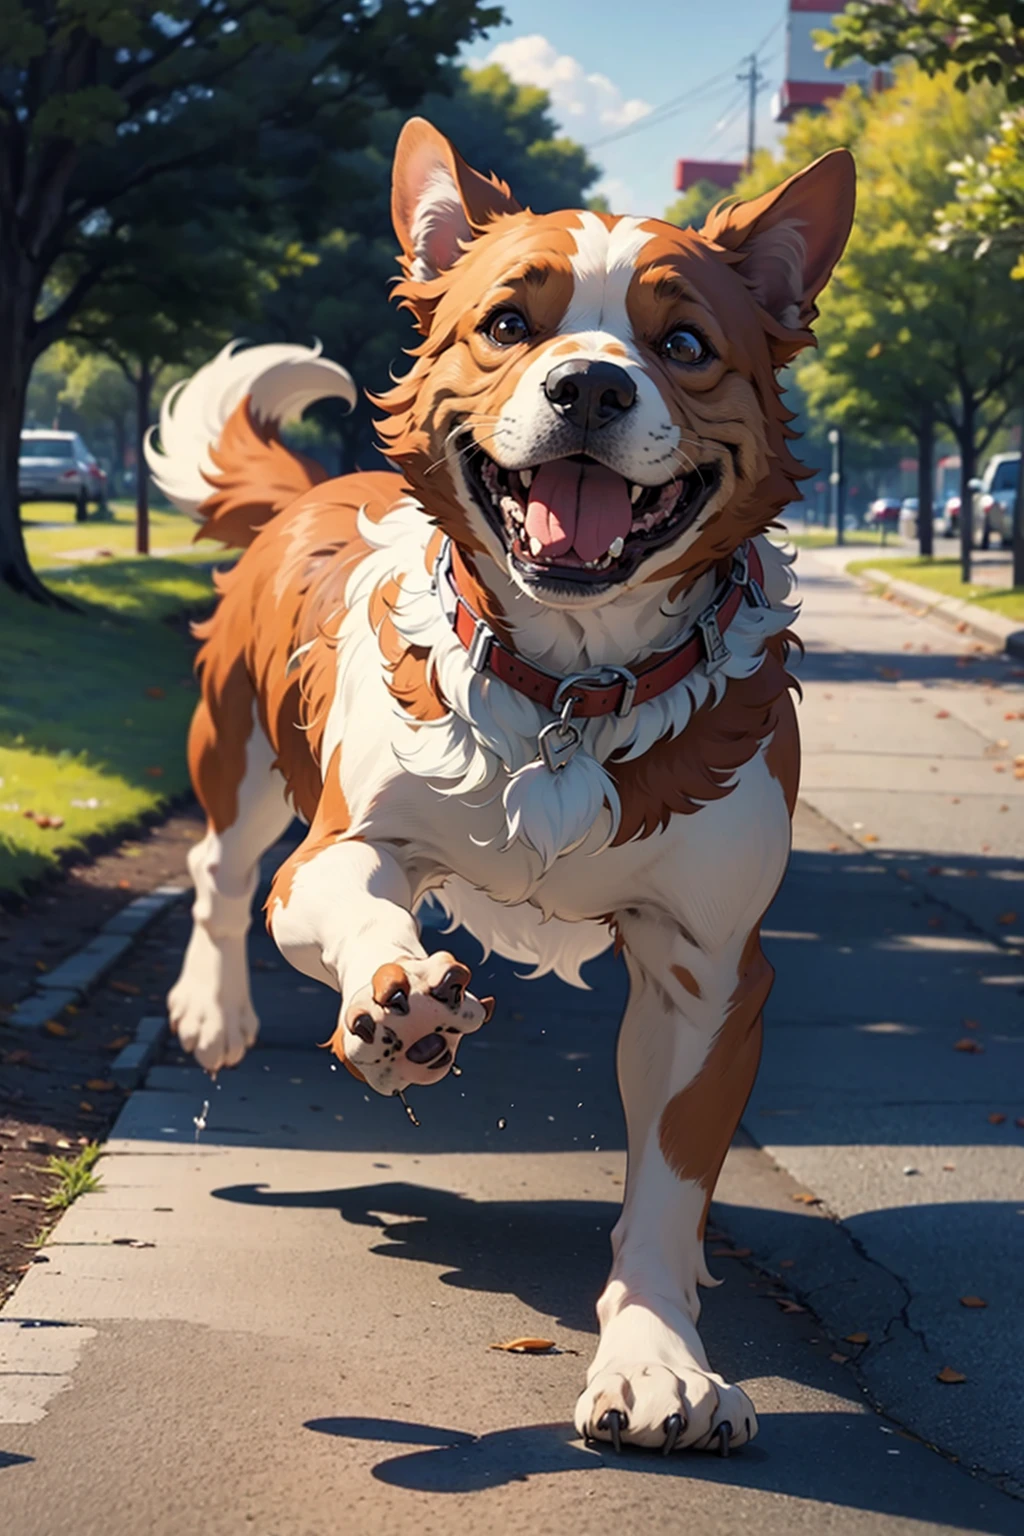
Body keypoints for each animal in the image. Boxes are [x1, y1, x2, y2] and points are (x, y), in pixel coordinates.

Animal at [145, 119, 859, 1449]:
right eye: (508, 322)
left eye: (684, 344)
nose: (591, 385)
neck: (574, 686)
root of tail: (319, 490)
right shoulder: (337, 852)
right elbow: (359, 906)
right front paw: (398, 998)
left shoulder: (705, 972)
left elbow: (667, 1188)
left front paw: (656, 1359)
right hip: (242, 747)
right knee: (218, 867)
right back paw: (243, 1016)